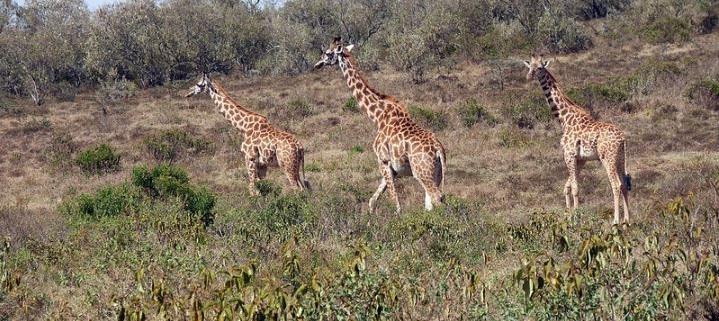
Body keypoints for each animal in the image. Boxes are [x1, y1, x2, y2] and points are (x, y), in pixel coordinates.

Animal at [314, 37, 448, 214]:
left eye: (329, 53)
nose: (317, 64)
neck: (378, 117)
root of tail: (439, 150)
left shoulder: (383, 161)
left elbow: (396, 205)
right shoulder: (393, 170)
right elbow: (372, 200)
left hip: (422, 173)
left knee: (438, 200)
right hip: (436, 174)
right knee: (431, 204)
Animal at [524, 55, 632, 224]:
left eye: (540, 67)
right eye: (530, 66)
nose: (529, 76)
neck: (563, 119)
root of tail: (623, 139)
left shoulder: (569, 155)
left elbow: (574, 188)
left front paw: (576, 216)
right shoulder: (581, 159)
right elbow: (567, 187)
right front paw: (569, 214)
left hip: (607, 158)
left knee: (616, 184)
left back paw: (616, 221)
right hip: (620, 158)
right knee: (625, 184)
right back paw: (627, 221)